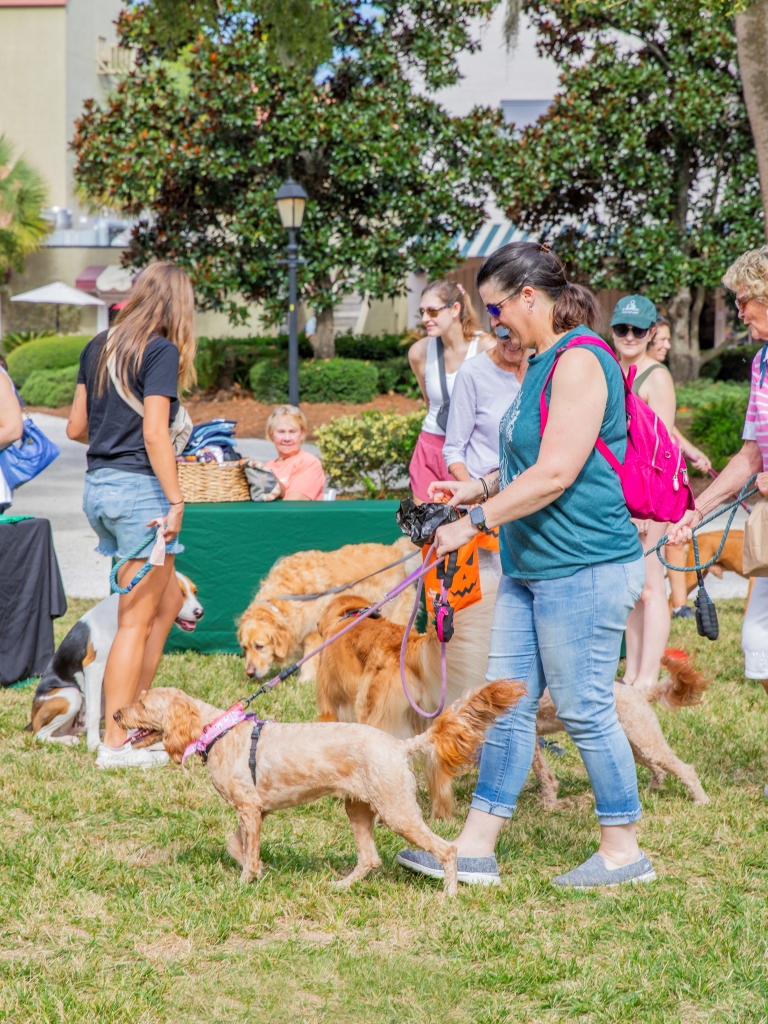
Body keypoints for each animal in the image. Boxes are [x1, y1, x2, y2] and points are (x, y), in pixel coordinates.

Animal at [27, 573, 204, 749]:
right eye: (180, 594)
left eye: (195, 592)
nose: (200, 612)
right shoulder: (94, 667)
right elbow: (93, 712)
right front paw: (93, 745)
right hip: (71, 695)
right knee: (41, 735)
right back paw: (70, 740)